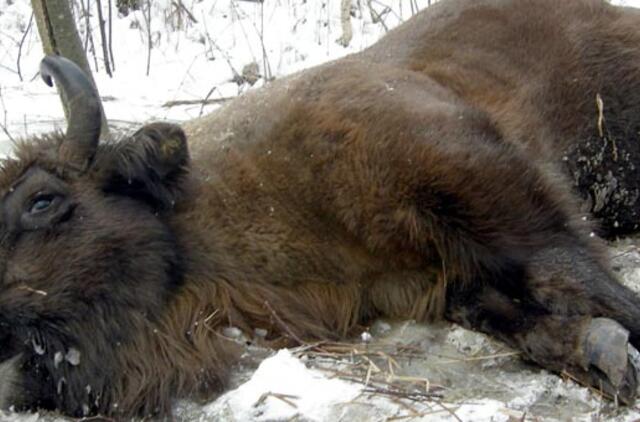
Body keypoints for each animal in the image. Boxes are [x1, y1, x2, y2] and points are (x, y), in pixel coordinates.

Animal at [2, 0, 640, 418]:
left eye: (42, 200)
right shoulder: (433, 279)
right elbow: (510, 313)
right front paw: (601, 354)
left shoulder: (491, 189)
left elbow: (575, 275)